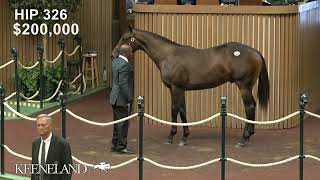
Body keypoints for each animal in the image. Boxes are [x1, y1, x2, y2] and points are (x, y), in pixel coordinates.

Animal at [111, 27, 268, 148]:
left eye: (125, 38)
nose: (113, 54)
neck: (168, 55)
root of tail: (256, 52)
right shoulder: (180, 89)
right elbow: (182, 111)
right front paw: (184, 137)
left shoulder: (175, 88)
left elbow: (174, 110)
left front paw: (171, 137)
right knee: (252, 106)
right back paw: (249, 135)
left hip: (244, 86)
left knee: (249, 107)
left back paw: (243, 139)